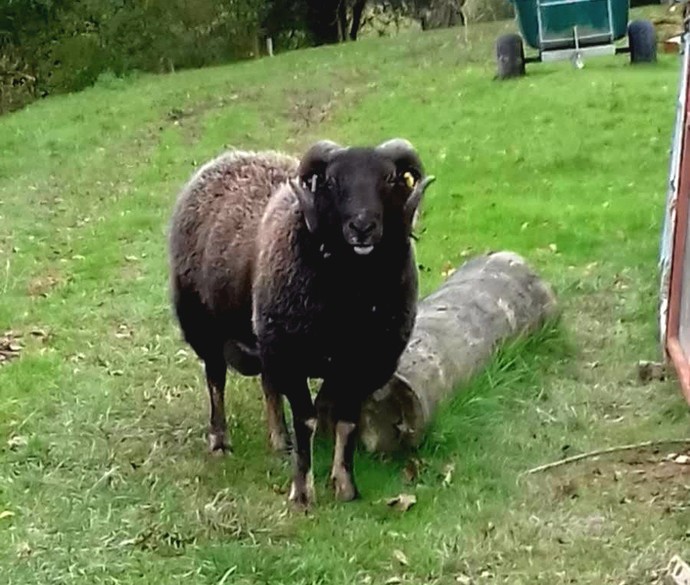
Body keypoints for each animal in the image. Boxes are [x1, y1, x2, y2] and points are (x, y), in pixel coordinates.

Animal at [168, 138, 435, 507]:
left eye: (390, 178)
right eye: (332, 182)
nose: (362, 228)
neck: (353, 295)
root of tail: (233, 156)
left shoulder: (362, 365)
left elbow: (346, 423)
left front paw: (345, 486)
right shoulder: (292, 359)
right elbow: (306, 420)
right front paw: (302, 492)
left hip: (265, 333)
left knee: (267, 385)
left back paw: (280, 440)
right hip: (204, 324)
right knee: (215, 381)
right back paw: (220, 441)